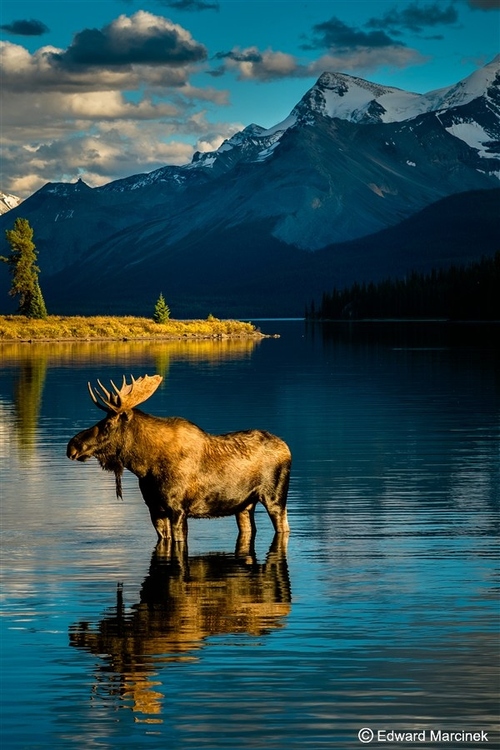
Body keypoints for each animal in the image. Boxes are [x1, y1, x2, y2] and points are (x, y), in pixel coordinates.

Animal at [68, 374, 292, 540]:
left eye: (107, 424)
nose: (72, 446)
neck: (144, 466)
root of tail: (286, 447)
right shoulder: (155, 509)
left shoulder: (177, 509)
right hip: (244, 506)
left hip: (275, 498)